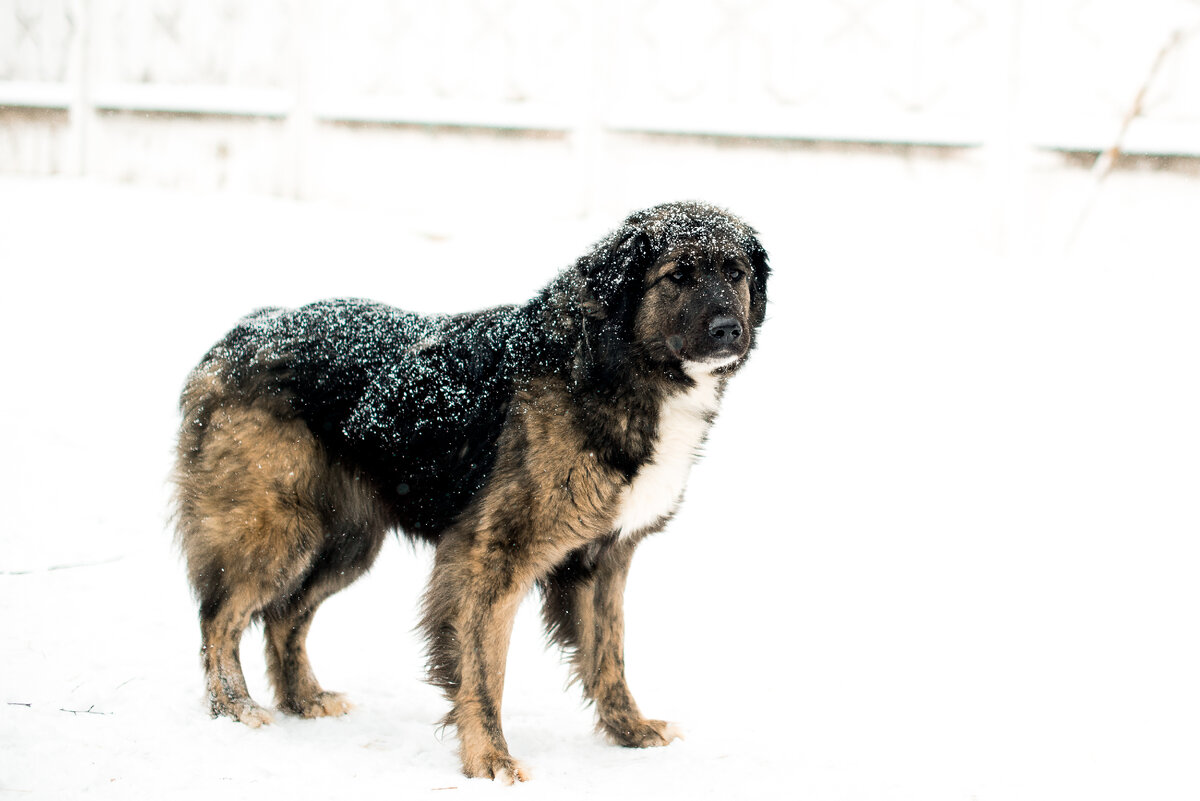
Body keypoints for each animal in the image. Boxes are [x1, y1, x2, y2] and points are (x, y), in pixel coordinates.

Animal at [171, 200, 768, 781]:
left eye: (735, 273)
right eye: (678, 275)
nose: (728, 329)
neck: (604, 364)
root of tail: (246, 329)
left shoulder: (605, 557)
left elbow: (609, 655)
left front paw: (631, 731)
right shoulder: (492, 556)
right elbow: (484, 669)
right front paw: (490, 761)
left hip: (346, 544)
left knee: (283, 616)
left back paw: (304, 699)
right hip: (276, 532)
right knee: (220, 619)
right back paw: (235, 708)